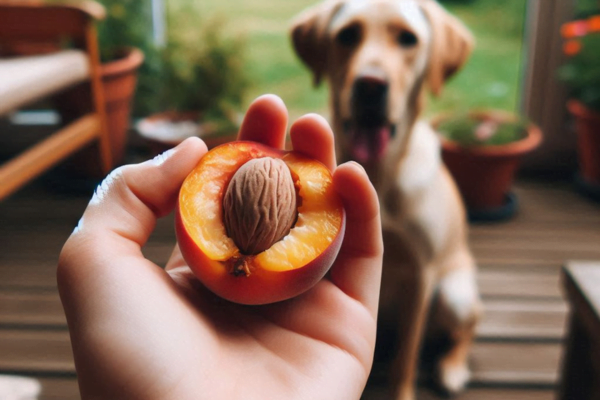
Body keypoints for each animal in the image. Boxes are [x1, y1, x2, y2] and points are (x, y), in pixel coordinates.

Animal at [290, 1, 482, 398]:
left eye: (408, 38)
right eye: (347, 34)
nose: (370, 85)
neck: (378, 173)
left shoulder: (423, 274)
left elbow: (406, 359)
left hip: (454, 293)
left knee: (468, 326)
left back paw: (453, 366)